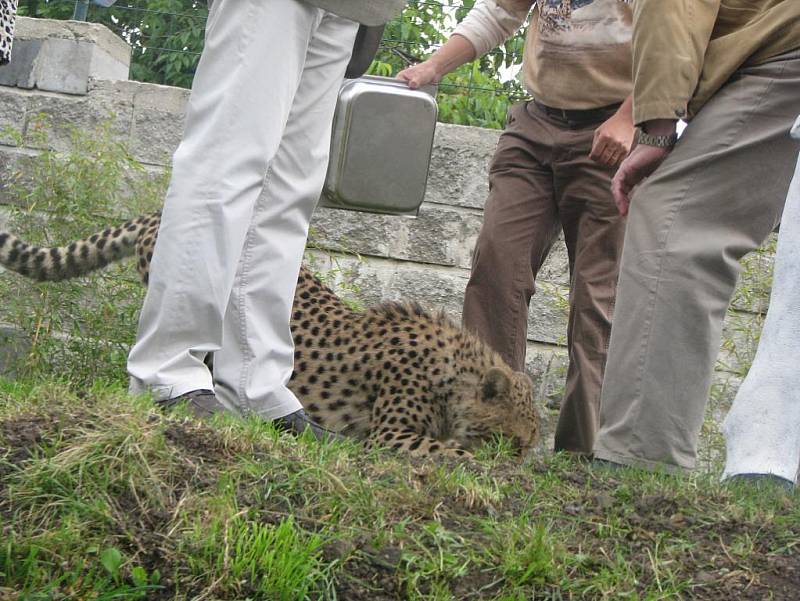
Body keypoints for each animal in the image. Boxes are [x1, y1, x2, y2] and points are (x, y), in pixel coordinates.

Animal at [0, 213, 540, 458]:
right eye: (514, 439)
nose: (523, 456)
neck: (456, 373)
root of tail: (155, 214)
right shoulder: (390, 435)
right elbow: (457, 452)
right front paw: (496, 467)